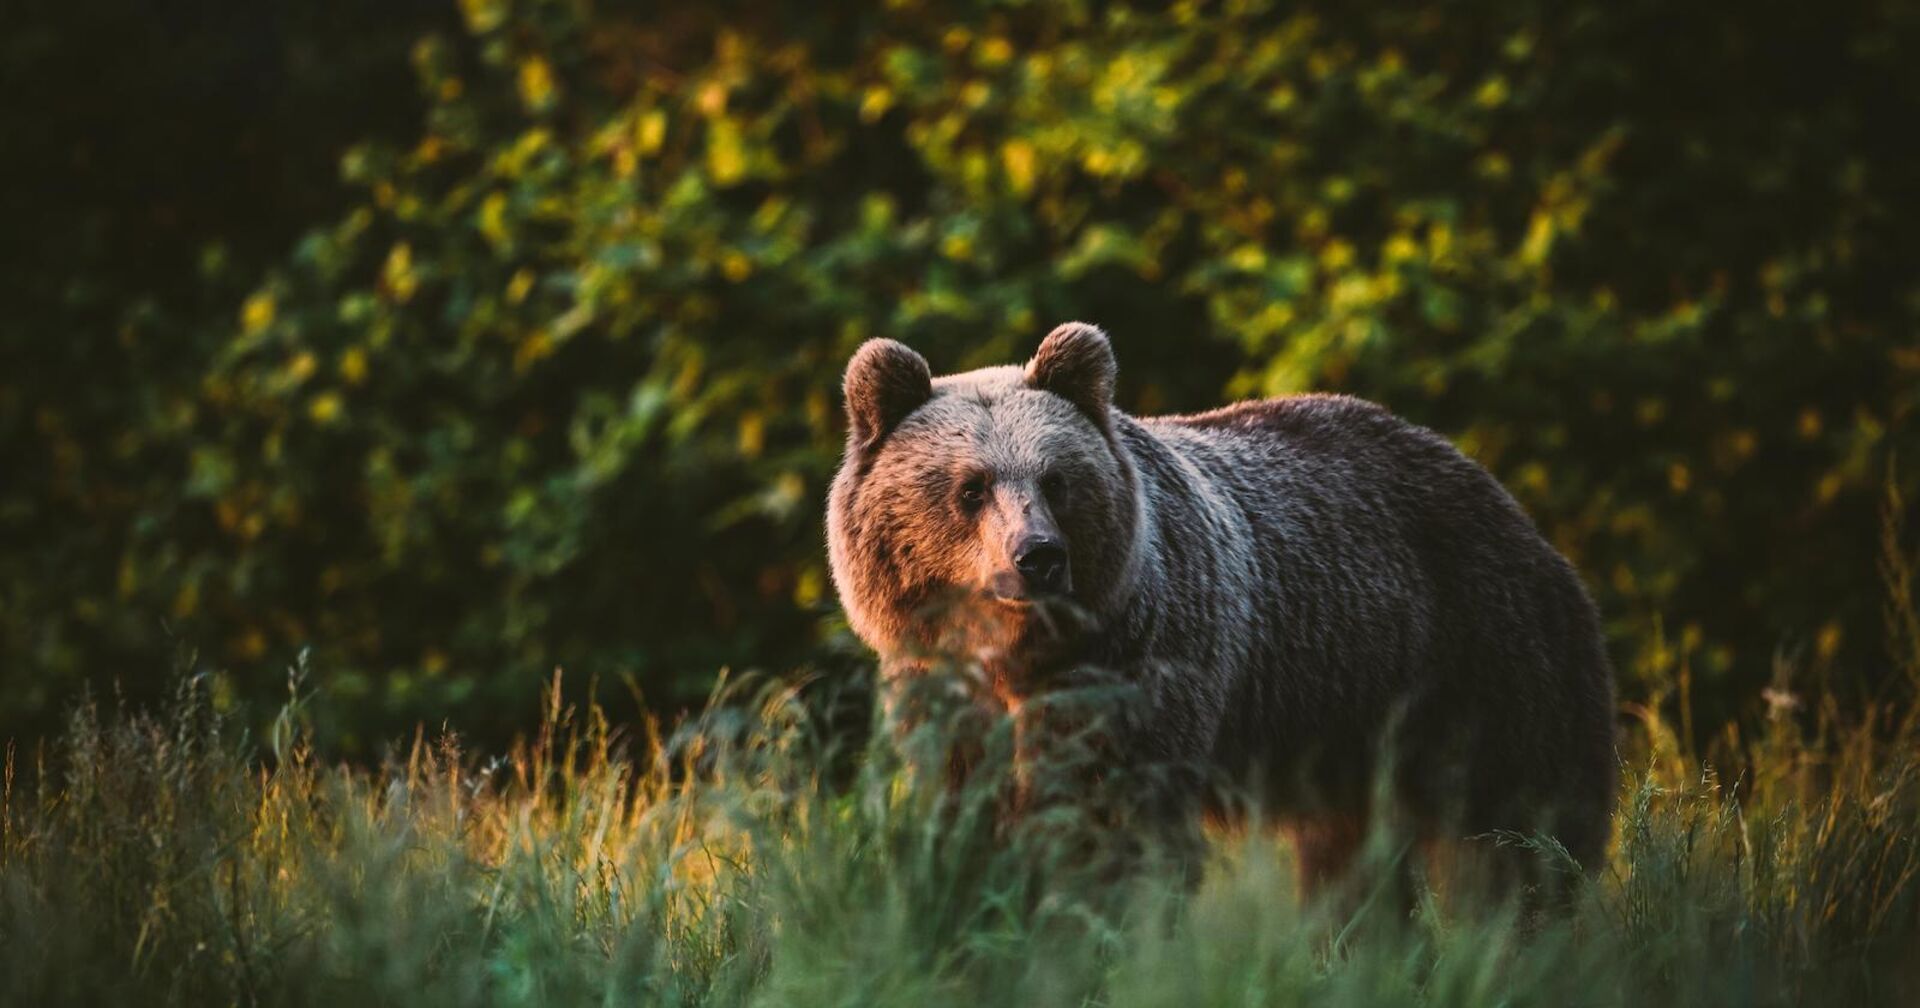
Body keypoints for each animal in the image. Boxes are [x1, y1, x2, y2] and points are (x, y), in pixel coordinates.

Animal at [825, 321, 1618, 905]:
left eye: (1056, 479)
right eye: (971, 487)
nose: (1038, 555)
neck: (1015, 654)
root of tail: (1506, 499)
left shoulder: (1136, 670)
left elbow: (1105, 821)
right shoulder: (941, 689)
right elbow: (965, 818)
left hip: (1482, 662)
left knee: (1521, 832)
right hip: (1353, 732)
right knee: (1351, 860)